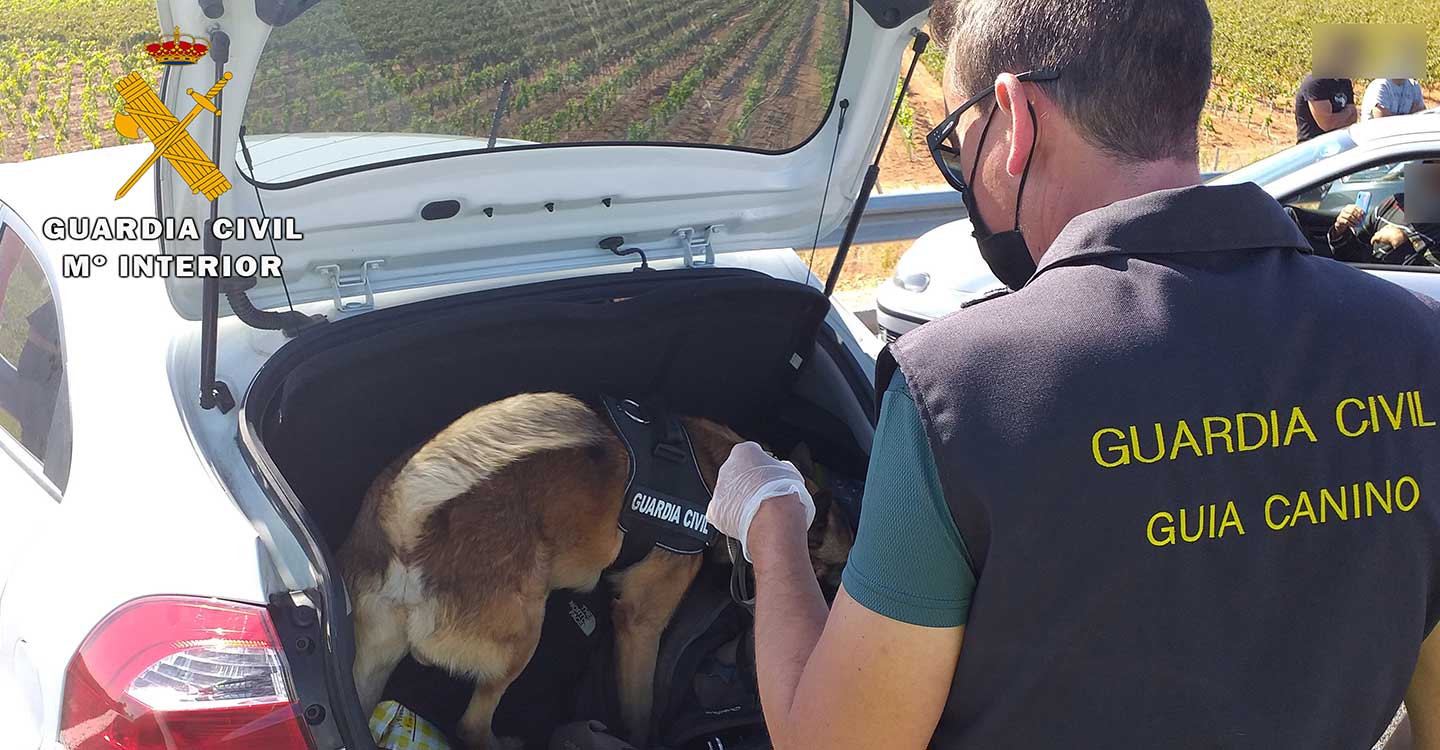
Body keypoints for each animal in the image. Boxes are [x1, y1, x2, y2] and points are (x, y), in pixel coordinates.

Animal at [341, 394, 846, 742]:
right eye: (830, 577)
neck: (718, 468)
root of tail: (408, 526)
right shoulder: (640, 626)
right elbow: (641, 710)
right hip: (524, 634)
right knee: (472, 725)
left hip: (374, 664)